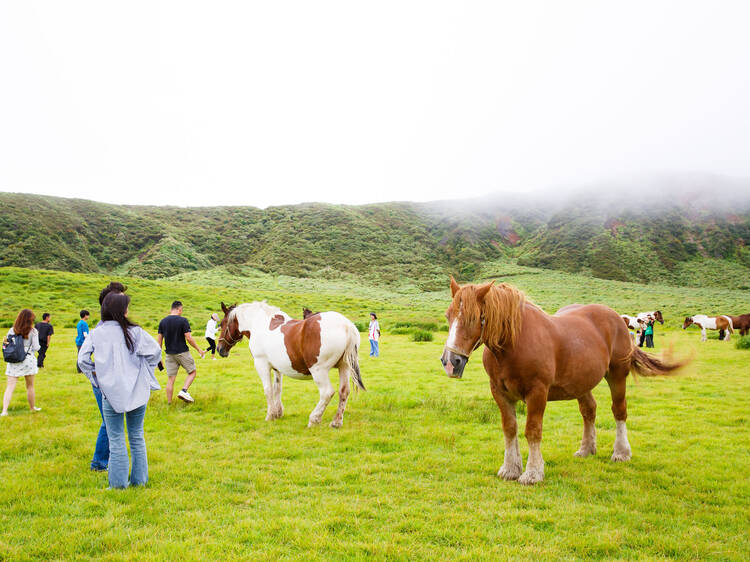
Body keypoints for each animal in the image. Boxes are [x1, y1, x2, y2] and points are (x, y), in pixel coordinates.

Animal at [216, 300, 366, 426]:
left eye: (222, 324)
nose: (219, 349)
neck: (259, 323)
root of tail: (346, 326)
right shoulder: (277, 368)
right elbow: (277, 389)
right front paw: (278, 413)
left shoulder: (261, 364)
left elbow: (268, 390)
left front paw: (270, 415)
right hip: (344, 367)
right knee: (344, 392)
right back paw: (336, 422)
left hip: (319, 371)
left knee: (327, 393)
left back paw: (314, 419)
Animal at [440, 278, 688, 484]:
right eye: (448, 316)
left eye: (475, 318)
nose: (450, 362)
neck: (514, 344)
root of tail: (617, 318)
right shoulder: (500, 392)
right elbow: (509, 428)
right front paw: (510, 469)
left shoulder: (537, 392)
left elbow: (532, 430)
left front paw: (532, 473)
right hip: (582, 382)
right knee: (589, 410)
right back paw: (586, 449)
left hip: (617, 375)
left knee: (619, 411)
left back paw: (621, 452)